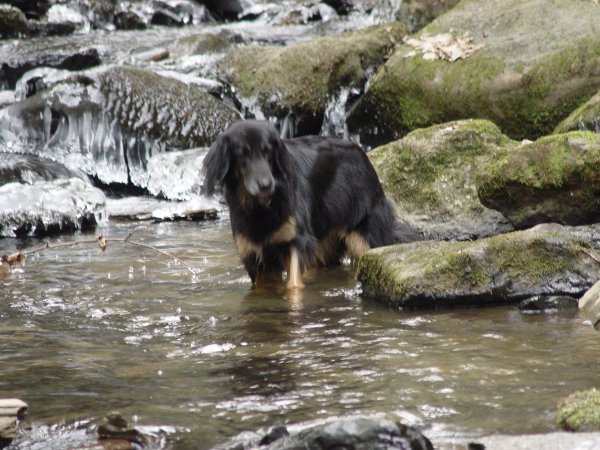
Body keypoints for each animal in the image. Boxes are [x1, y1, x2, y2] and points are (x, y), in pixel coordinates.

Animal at [202, 120, 420, 290]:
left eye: (268, 152)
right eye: (242, 155)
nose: (266, 185)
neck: (261, 207)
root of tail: (363, 155)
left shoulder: (298, 240)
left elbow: (293, 284)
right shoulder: (255, 255)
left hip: (364, 237)